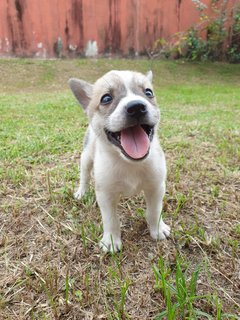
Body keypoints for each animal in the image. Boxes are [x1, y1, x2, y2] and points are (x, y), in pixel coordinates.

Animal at [68, 70, 170, 252]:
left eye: (148, 93)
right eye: (106, 98)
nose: (136, 107)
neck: (128, 162)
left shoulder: (156, 187)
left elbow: (154, 211)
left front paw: (157, 230)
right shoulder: (105, 195)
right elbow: (111, 219)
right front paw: (111, 240)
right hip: (86, 156)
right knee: (84, 175)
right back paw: (82, 192)